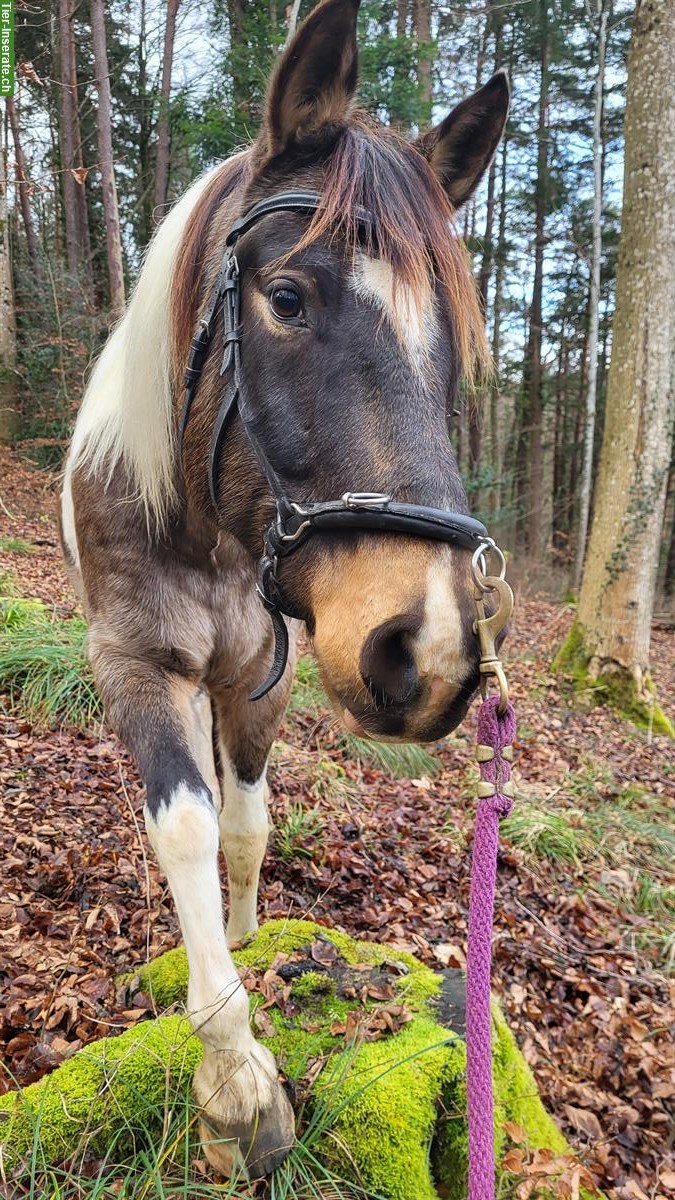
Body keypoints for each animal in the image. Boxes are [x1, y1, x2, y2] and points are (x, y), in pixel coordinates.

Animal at [60, 0, 506, 1180]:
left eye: (453, 349)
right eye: (289, 298)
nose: (431, 648)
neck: (201, 525)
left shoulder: (264, 672)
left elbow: (246, 825)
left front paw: (249, 927)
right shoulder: (133, 664)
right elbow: (183, 826)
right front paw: (236, 1082)